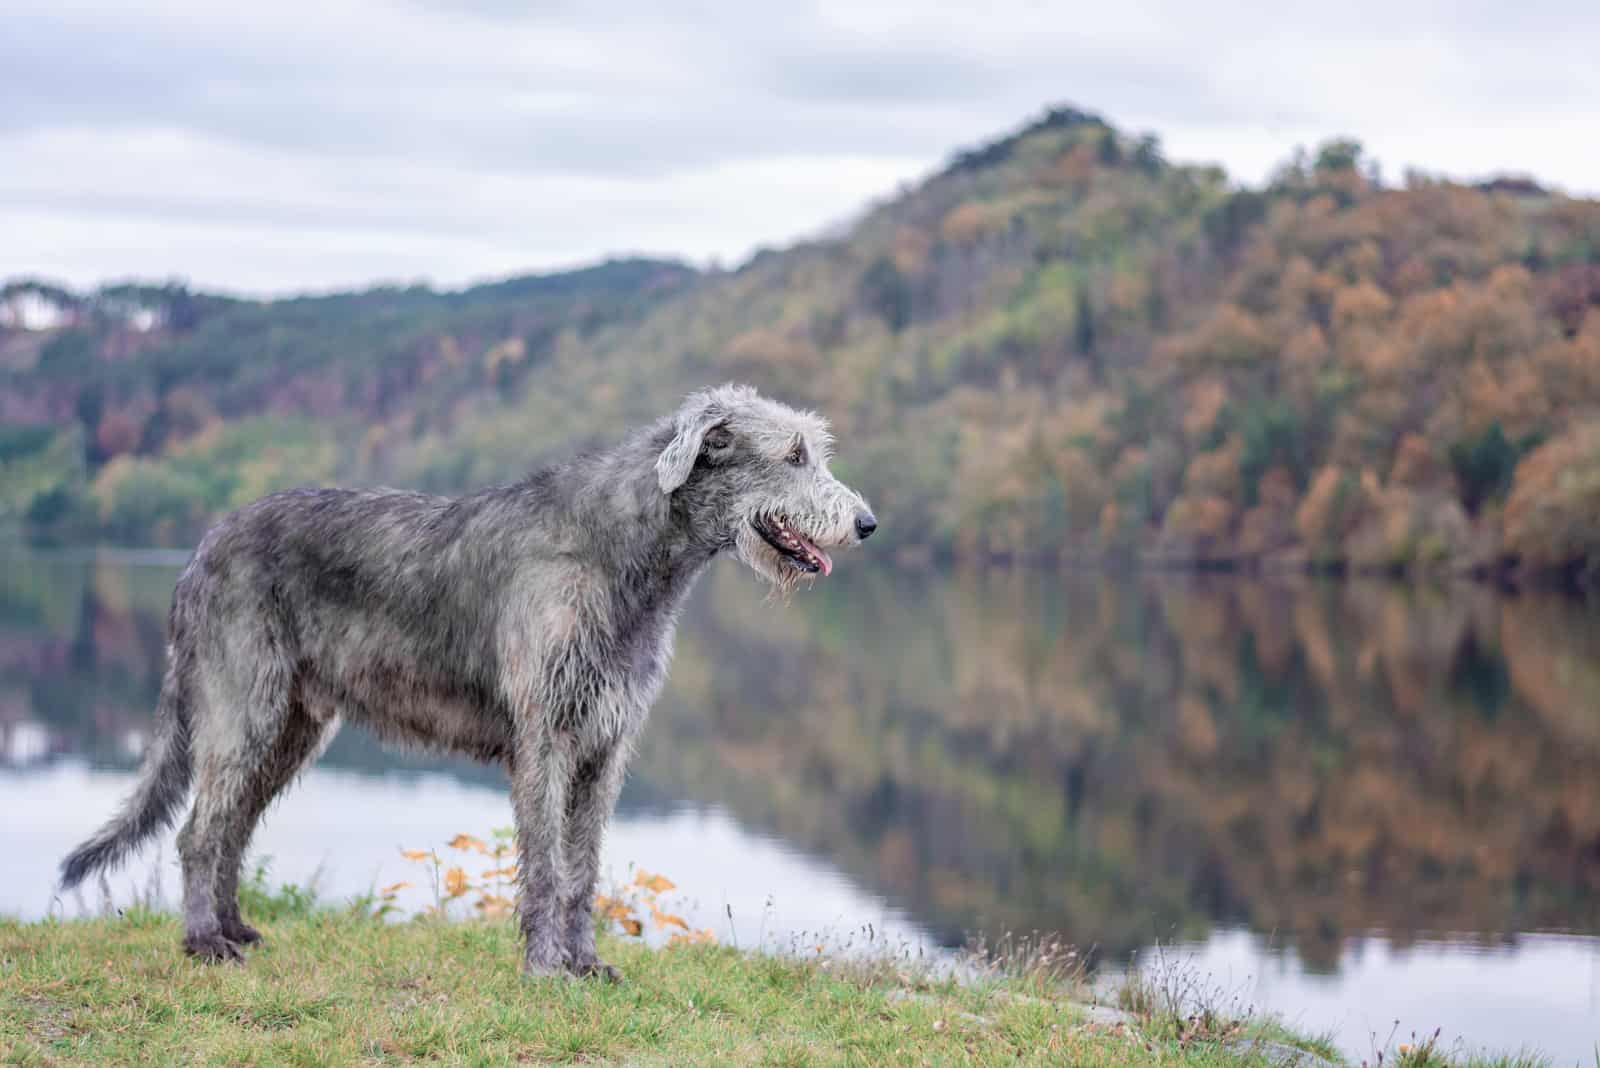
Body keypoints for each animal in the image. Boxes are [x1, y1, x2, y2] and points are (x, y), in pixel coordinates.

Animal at [59, 383, 876, 978]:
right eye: (794, 454)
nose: (867, 523)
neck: (620, 552)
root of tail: (200, 548)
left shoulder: (605, 746)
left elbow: (583, 868)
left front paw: (586, 963)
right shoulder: (547, 739)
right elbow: (545, 866)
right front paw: (545, 967)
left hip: (291, 728)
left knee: (231, 828)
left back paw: (234, 927)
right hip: (243, 707)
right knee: (200, 832)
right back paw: (205, 943)